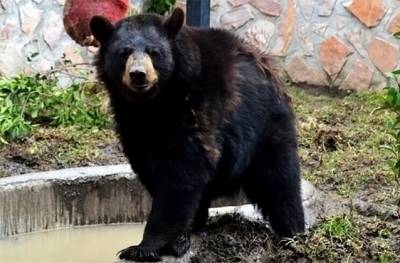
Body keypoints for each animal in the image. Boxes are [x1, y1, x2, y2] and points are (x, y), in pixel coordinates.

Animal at [90, 7, 304, 262]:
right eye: (124, 52)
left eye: (154, 52)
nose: (138, 74)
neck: (152, 104)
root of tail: (267, 64)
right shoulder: (131, 123)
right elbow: (149, 165)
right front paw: (178, 237)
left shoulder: (193, 108)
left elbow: (182, 173)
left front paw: (141, 247)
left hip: (265, 123)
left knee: (279, 180)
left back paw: (293, 234)